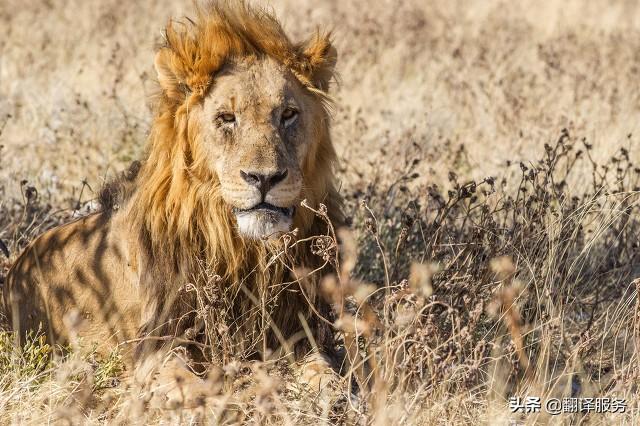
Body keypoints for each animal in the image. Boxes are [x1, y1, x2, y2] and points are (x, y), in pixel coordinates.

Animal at [3, 0, 344, 406]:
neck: (242, 249)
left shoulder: (299, 327)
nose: (264, 178)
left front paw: (335, 396)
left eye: (288, 115)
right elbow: (186, 386)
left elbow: (328, 370)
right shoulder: (158, 344)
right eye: (226, 118)